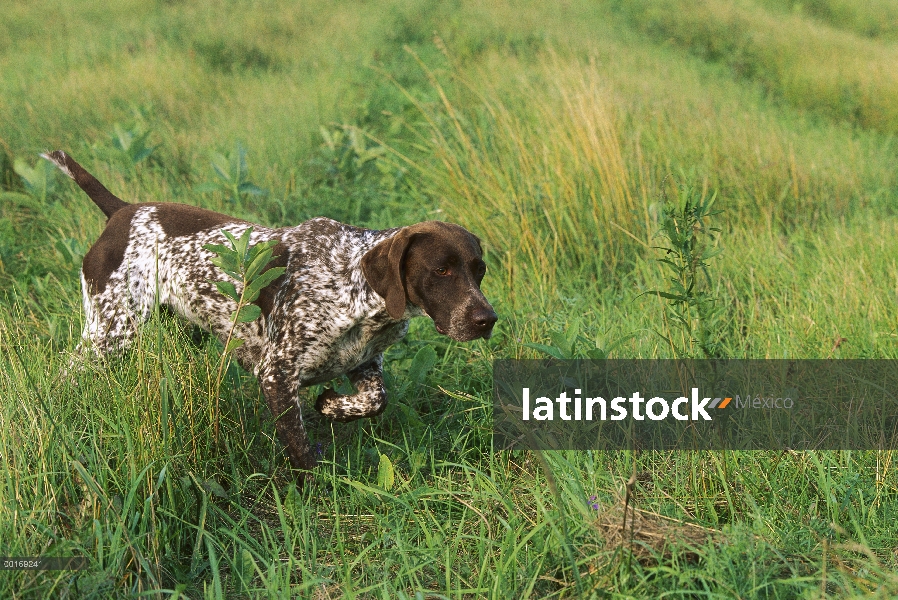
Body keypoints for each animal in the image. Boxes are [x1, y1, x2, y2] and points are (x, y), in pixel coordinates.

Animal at [43, 150, 496, 474]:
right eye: (441, 270)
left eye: (479, 270)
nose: (486, 320)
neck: (351, 283)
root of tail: (123, 210)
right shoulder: (276, 374)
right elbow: (301, 451)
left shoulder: (362, 363)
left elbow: (375, 399)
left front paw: (332, 405)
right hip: (110, 332)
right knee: (66, 374)